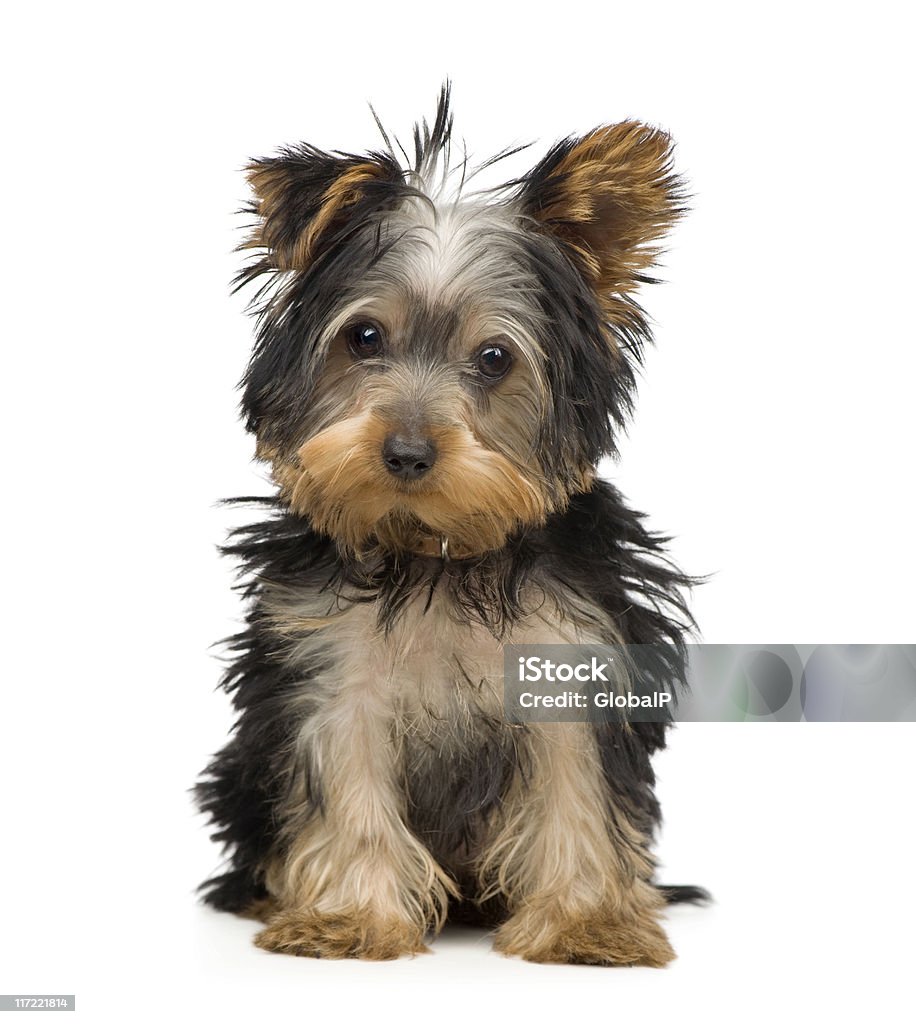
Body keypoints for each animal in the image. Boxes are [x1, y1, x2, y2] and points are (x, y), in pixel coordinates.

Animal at [198, 86, 704, 958]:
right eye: (364, 337)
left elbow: (577, 786)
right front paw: (349, 916)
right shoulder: (332, 672)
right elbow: (349, 785)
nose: (405, 452)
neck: (437, 553)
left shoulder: (573, 656)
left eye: (495, 359)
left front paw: (587, 921)